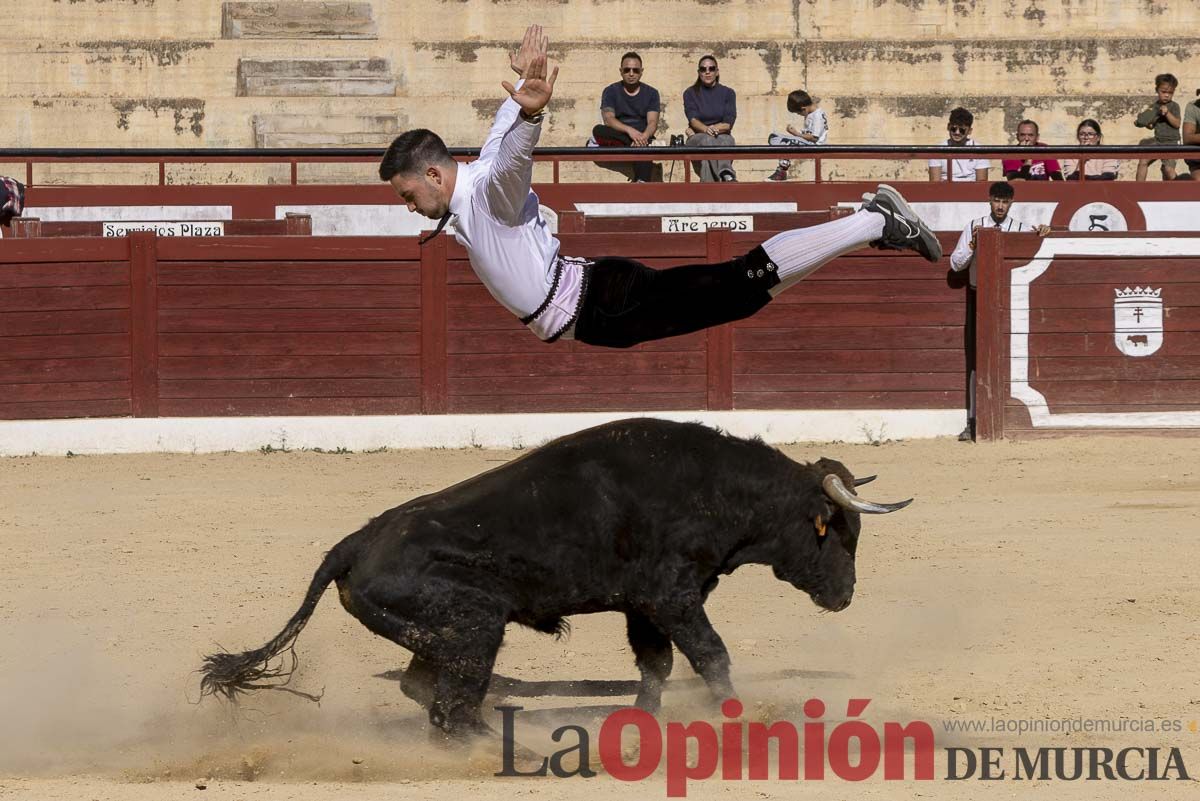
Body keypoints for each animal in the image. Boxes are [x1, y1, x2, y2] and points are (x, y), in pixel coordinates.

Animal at [199, 419, 907, 738]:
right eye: (841, 533)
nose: (845, 597)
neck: (714, 489)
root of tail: (353, 543)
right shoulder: (673, 598)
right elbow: (710, 654)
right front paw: (736, 717)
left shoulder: (643, 607)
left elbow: (656, 665)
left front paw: (644, 721)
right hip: (474, 624)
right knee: (449, 699)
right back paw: (486, 744)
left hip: (450, 632)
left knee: (425, 685)